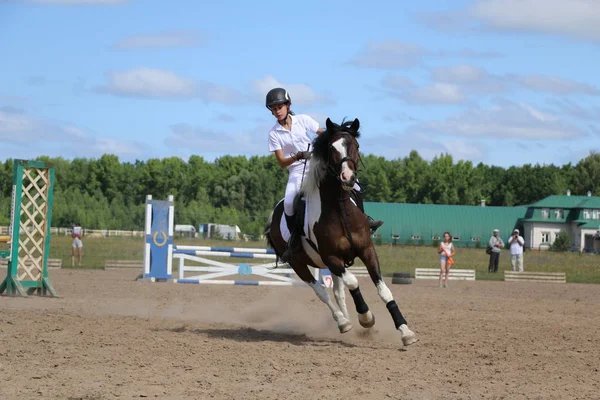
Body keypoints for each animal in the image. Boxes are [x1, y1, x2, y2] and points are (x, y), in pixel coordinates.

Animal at [264, 117, 420, 346]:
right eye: (331, 148)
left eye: (355, 145)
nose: (347, 177)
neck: (339, 208)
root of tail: (272, 217)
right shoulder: (332, 258)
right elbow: (353, 282)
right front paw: (366, 317)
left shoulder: (367, 251)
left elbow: (383, 289)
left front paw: (405, 331)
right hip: (299, 263)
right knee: (322, 292)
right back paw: (343, 322)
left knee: (338, 293)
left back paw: (347, 321)